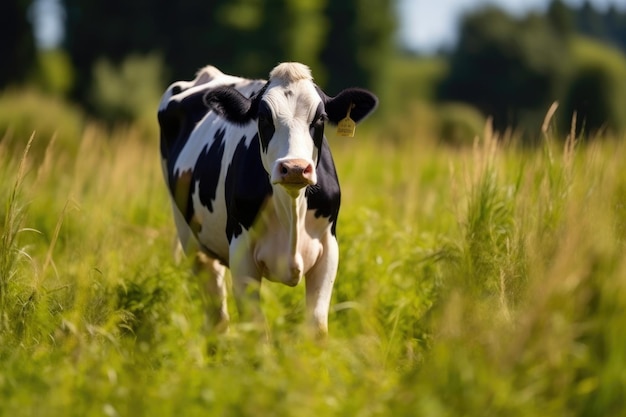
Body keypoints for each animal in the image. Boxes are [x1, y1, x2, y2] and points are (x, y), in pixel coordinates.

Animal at [158, 62, 378, 334]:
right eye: (263, 118)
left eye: (321, 118)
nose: (294, 167)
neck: (291, 209)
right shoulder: (241, 253)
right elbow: (256, 328)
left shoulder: (329, 249)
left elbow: (316, 324)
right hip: (190, 237)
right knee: (217, 314)